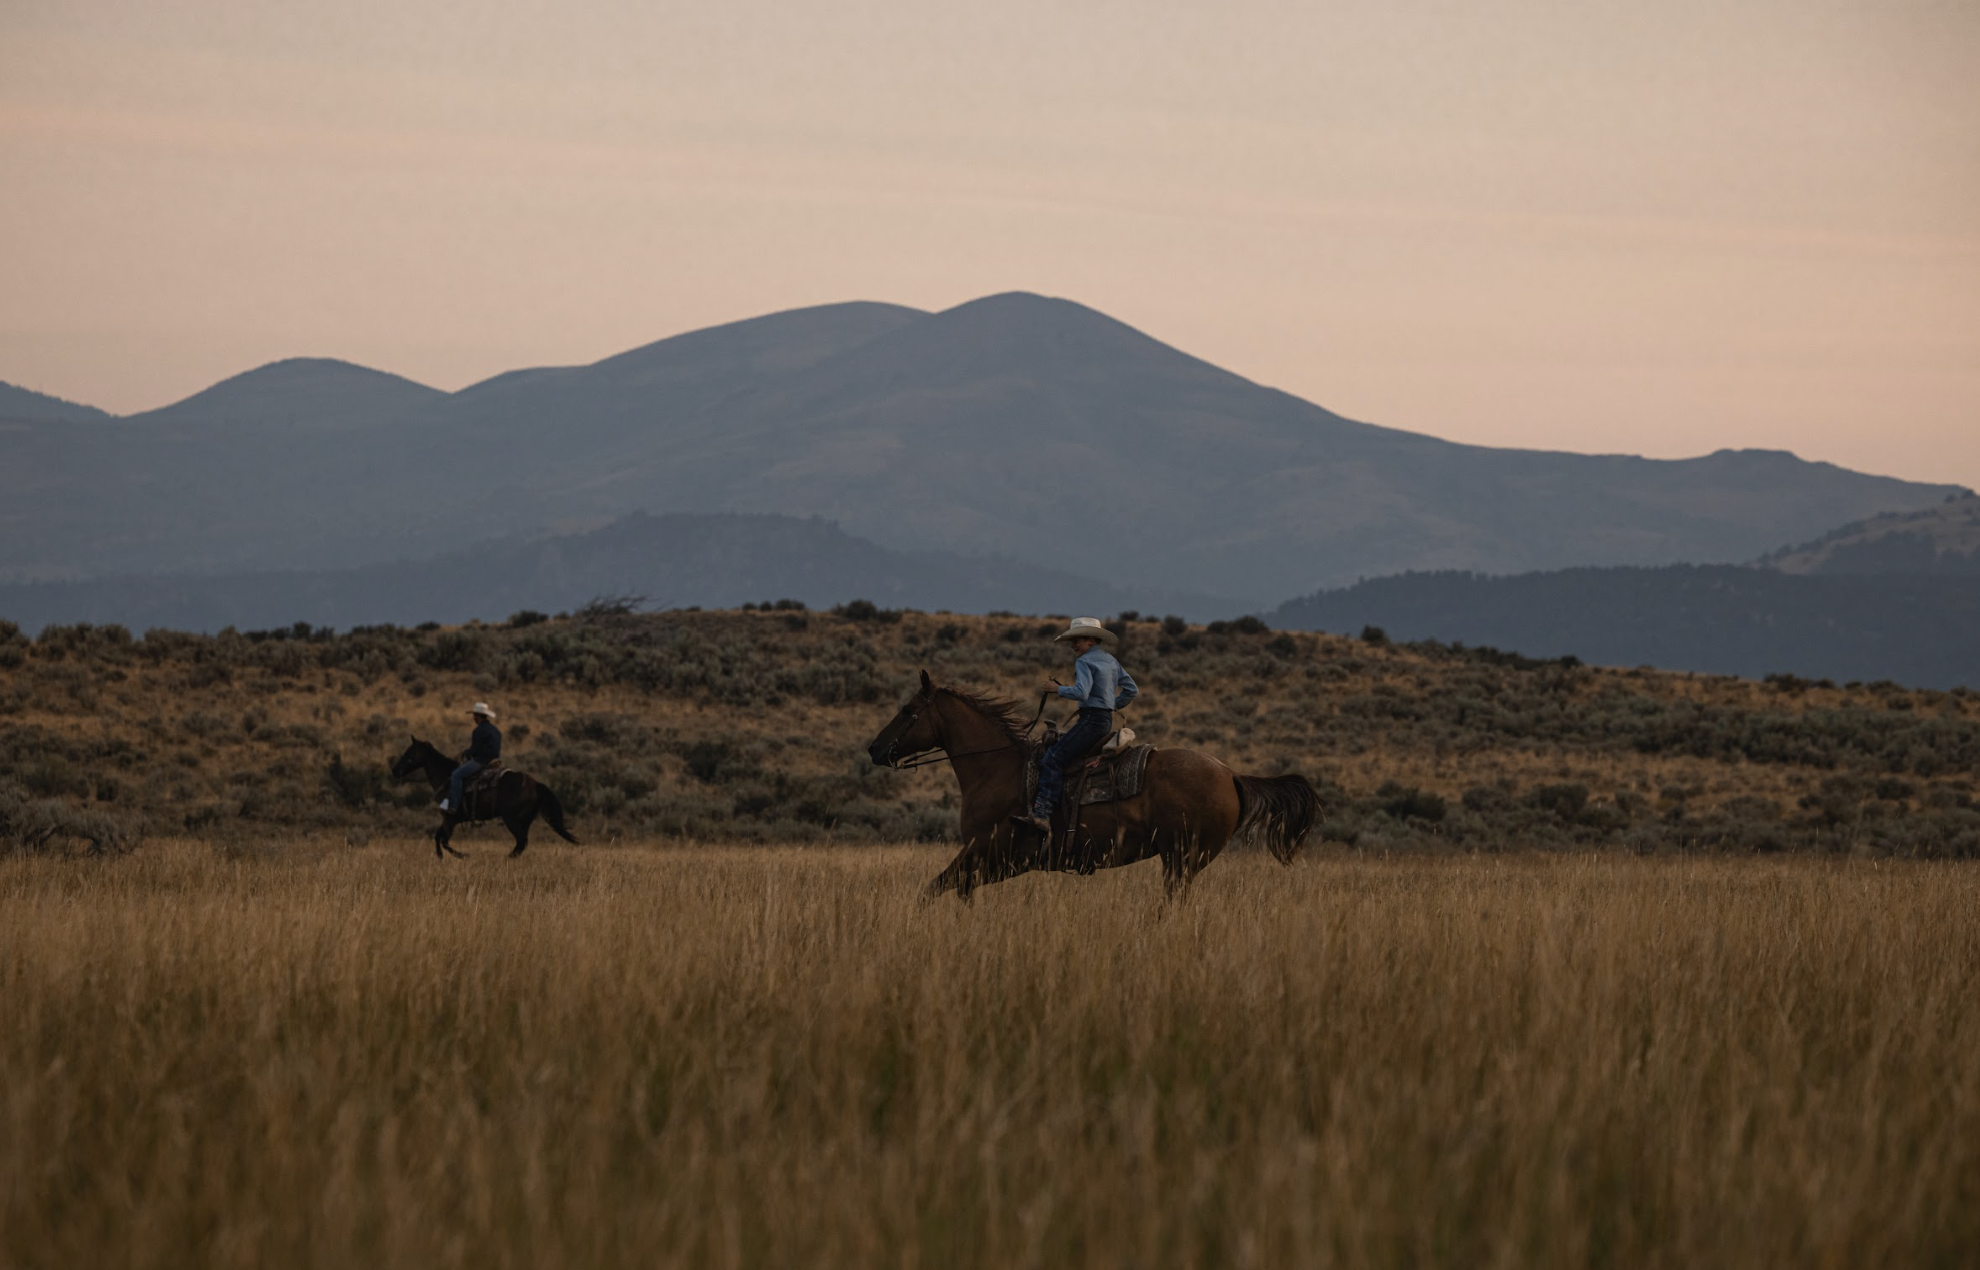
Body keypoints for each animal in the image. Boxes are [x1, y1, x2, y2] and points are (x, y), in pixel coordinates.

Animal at [382, 733, 578, 863]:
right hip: (524, 820)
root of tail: (535, 783)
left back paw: (504, 859)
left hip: (512, 819)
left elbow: (444, 840)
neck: (447, 777)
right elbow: (438, 837)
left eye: (408, 753)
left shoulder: (451, 817)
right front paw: (441, 857)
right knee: (521, 844)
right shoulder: (450, 819)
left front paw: (463, 855)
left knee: (520, 843)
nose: (395, 770)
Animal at [867, 669, 1314, 895]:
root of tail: (1231, 773)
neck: (996, 767)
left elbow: (933, 890)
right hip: (1180, 860)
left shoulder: (987, 852)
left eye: (907, 710)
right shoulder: (992, 862)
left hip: (1183, 858)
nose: (875, 748)